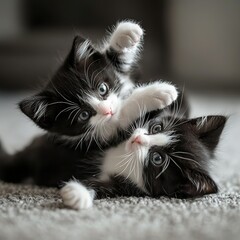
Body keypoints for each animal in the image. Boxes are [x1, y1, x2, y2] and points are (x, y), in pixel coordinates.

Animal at [19, 20, 178, 149]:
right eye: (83, 115)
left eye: (102, 89)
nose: (108, 111)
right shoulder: (104, 136)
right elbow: (122, 113)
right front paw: (157, 93)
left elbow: (110, 61)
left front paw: (125, 34)